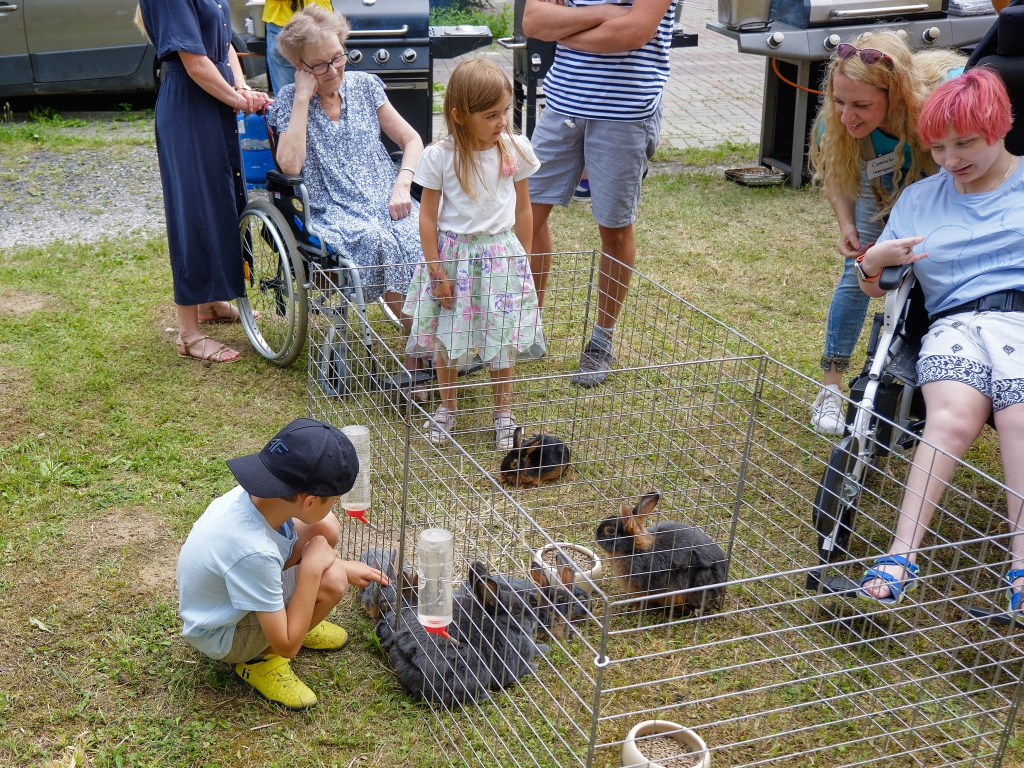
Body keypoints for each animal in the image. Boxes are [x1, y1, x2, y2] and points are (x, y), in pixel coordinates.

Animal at [375, 561, 540, 705]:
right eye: (517, 611)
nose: (534, 617)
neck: (504, 623)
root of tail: (409, 653)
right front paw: (534, 667)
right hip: (472, 663)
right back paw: (486, 695)